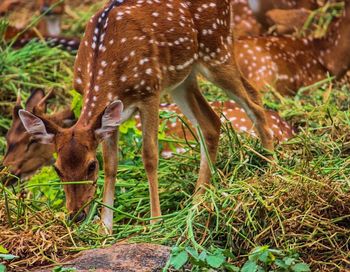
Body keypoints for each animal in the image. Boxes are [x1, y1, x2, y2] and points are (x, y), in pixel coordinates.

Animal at [17, 0, 274, 234]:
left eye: (91, 166)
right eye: (57, 169)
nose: (76, 215)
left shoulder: (150, 91)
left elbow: (149, 155)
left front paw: (155, 222)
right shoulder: (114, 115)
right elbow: (112, 164)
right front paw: (105, 228)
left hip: (217, 49)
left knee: (255, 100)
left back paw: (271, 170)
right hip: (183, 78)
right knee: (211, 123)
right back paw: (196, 202)